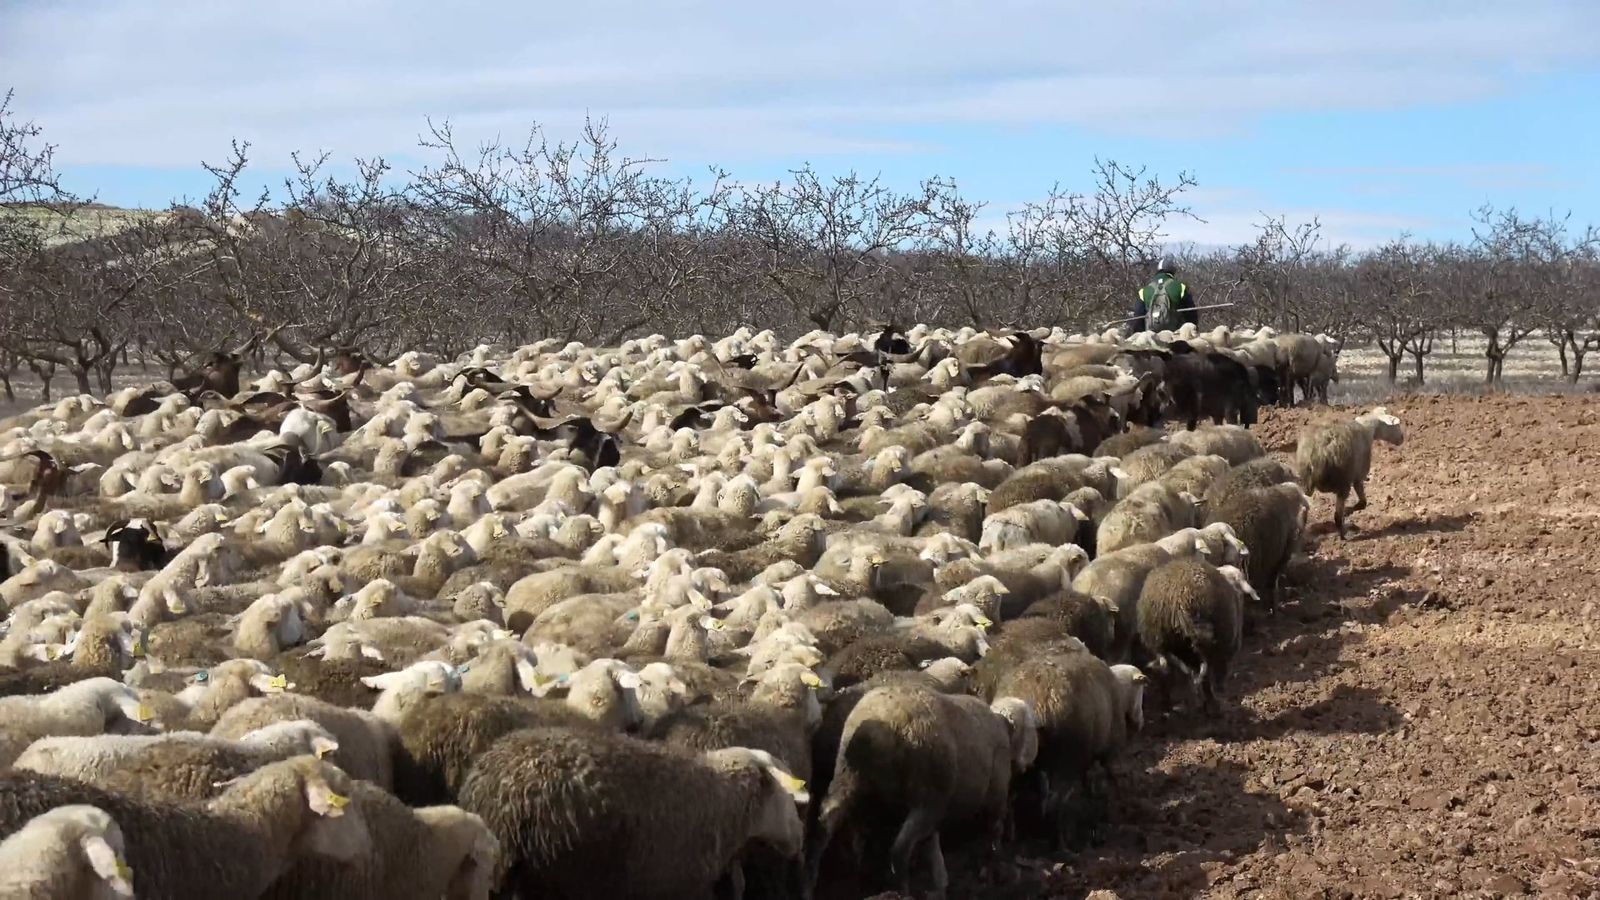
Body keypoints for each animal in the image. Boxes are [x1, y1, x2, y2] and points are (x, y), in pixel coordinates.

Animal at [805, 685, 1037, 898]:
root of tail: (879, 728)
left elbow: (932, 847)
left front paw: (940, 884)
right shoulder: (996, 791)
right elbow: (994, 830)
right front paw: (995, 863)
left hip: (847, 777)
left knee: (825, 823)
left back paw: (812, 878)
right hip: (928, 796)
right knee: (900, 848)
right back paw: (903, 890)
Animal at [1295, 407, 1405, 538]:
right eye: (1396, 424)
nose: (1402, 438)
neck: (1367, 429)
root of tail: (1316, 453)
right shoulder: (1358, 476)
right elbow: (1363, 503)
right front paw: (1348, 511)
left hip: (1306, 484)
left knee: (1303, 509)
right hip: (1343, 482)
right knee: (1337, 516)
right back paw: (1344, 534)